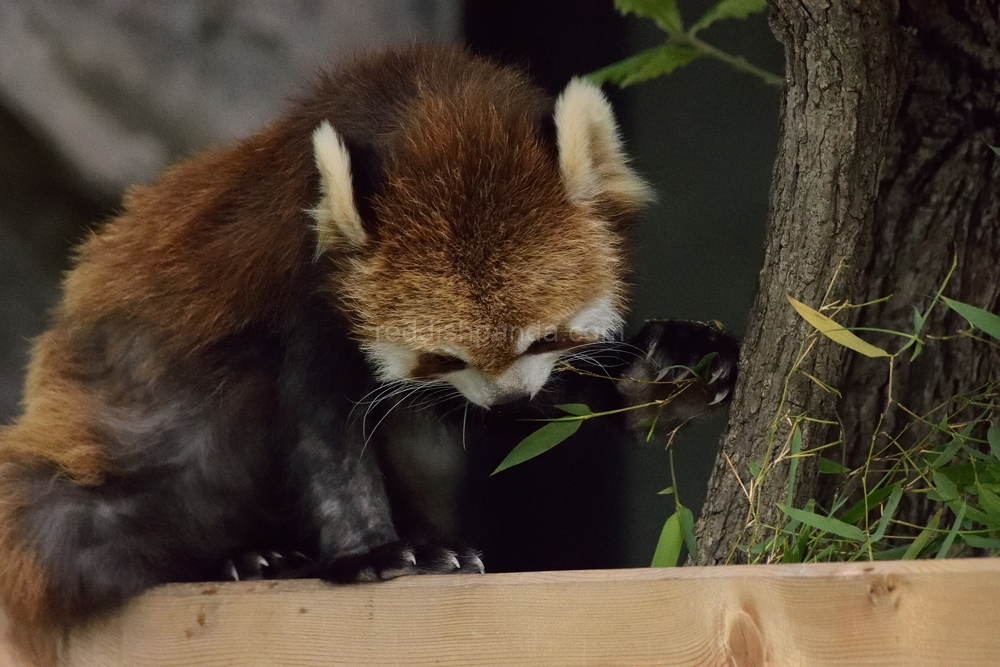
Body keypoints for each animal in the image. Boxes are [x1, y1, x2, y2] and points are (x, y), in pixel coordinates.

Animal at [0, 44, 736, 664]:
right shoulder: (304, 290)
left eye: (545, 338)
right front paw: (376, 550)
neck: (433, 107)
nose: (509, 401)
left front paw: (662, 377)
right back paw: (249, 557)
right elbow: (324, 427)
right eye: (441, 357)